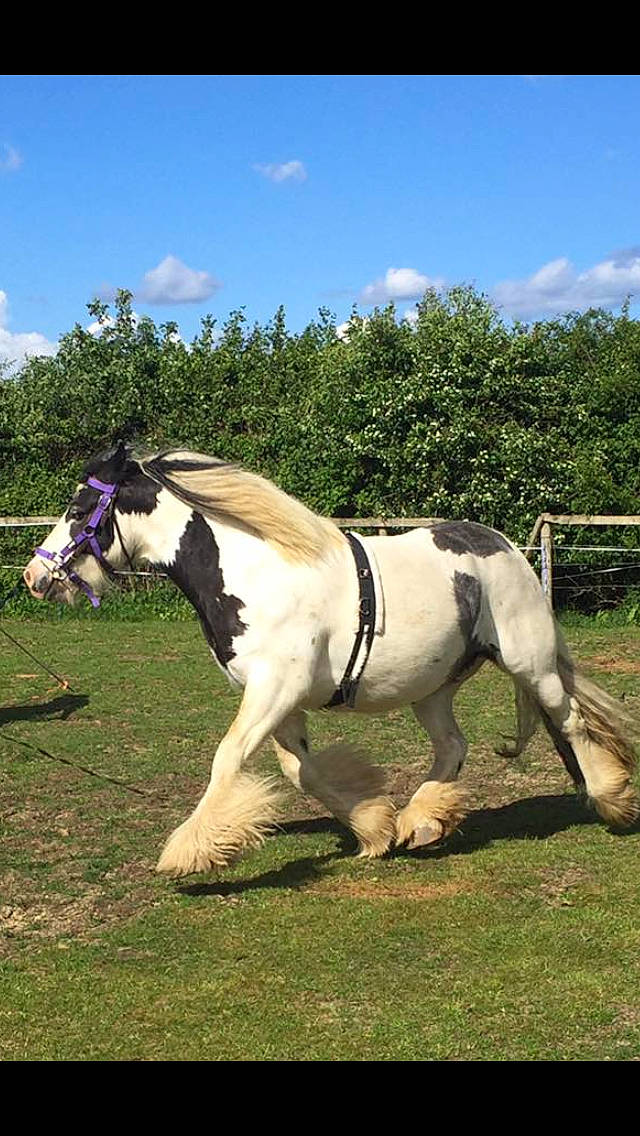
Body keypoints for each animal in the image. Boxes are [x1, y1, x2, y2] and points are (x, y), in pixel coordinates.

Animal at [23, 442, 639, 876]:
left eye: (79, 507)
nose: (34, 577)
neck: (256, 576)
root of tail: (506, 548)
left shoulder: (274, 690)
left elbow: (228, 759)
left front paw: (190, 852)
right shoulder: (278, 701)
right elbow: (302, 771)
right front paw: (373, 828)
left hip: (530, 665)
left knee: (570, 721)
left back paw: (610, 800)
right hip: (432, 689)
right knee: (453, 747)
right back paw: (421, 823)